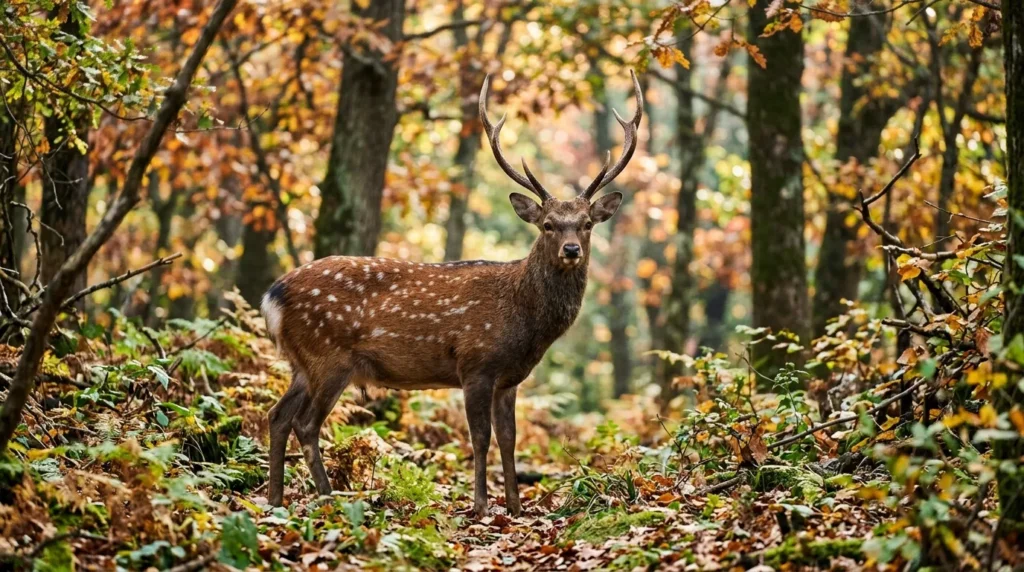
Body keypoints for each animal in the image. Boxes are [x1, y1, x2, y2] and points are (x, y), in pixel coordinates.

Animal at [261, 71, 643, 516]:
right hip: (329, 356)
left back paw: (274, 500)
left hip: (301, 363)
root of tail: (272, 295)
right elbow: (480, 438)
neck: (524, 319)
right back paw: (327, 498)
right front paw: (480, 506)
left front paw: (516, 508)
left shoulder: (510, 378)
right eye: (548, 224)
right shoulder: (474, 363)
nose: (571, 250)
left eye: (586, 223)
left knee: (276, 415)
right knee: (305, 423)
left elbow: (509, 439)